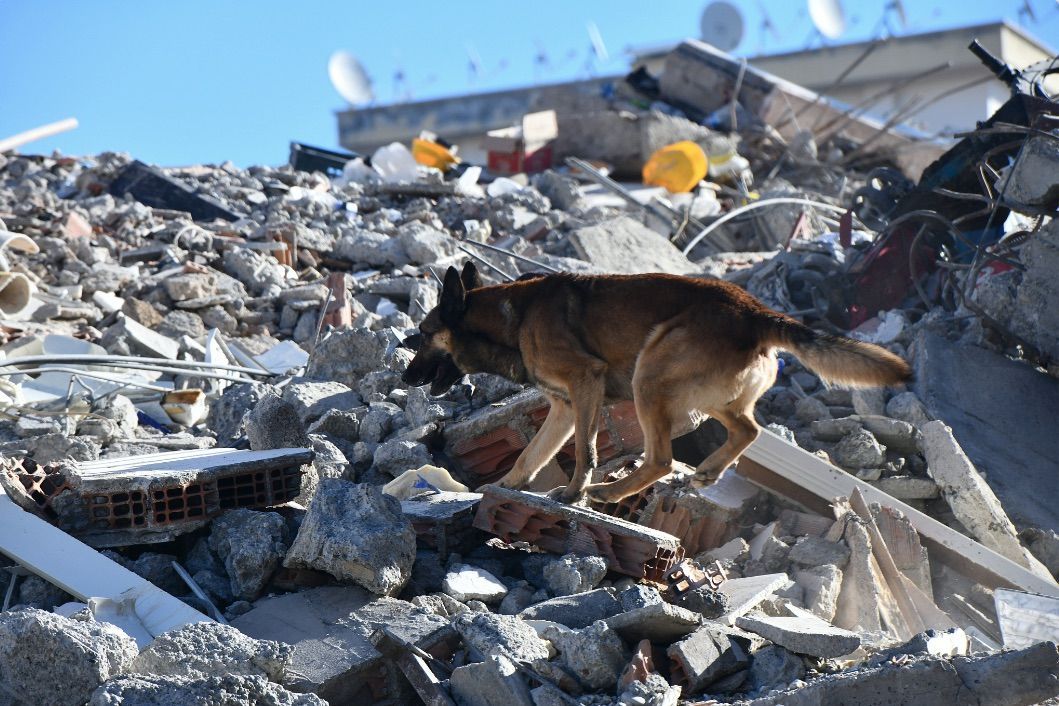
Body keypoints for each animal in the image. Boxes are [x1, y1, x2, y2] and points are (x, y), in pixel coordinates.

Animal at [400, 262, 906, 505]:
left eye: (423, 334)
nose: (404, 377)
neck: (514, 319)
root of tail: (755, 312)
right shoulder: (564, 408)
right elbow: (530, 453)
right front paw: (503, 486)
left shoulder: (585, 384)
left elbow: (586, 451)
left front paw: (573, 492)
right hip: (702, 396)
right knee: (747, 429)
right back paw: (708, 471)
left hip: (651, 379)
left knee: (661, 458)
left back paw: (611, 492)